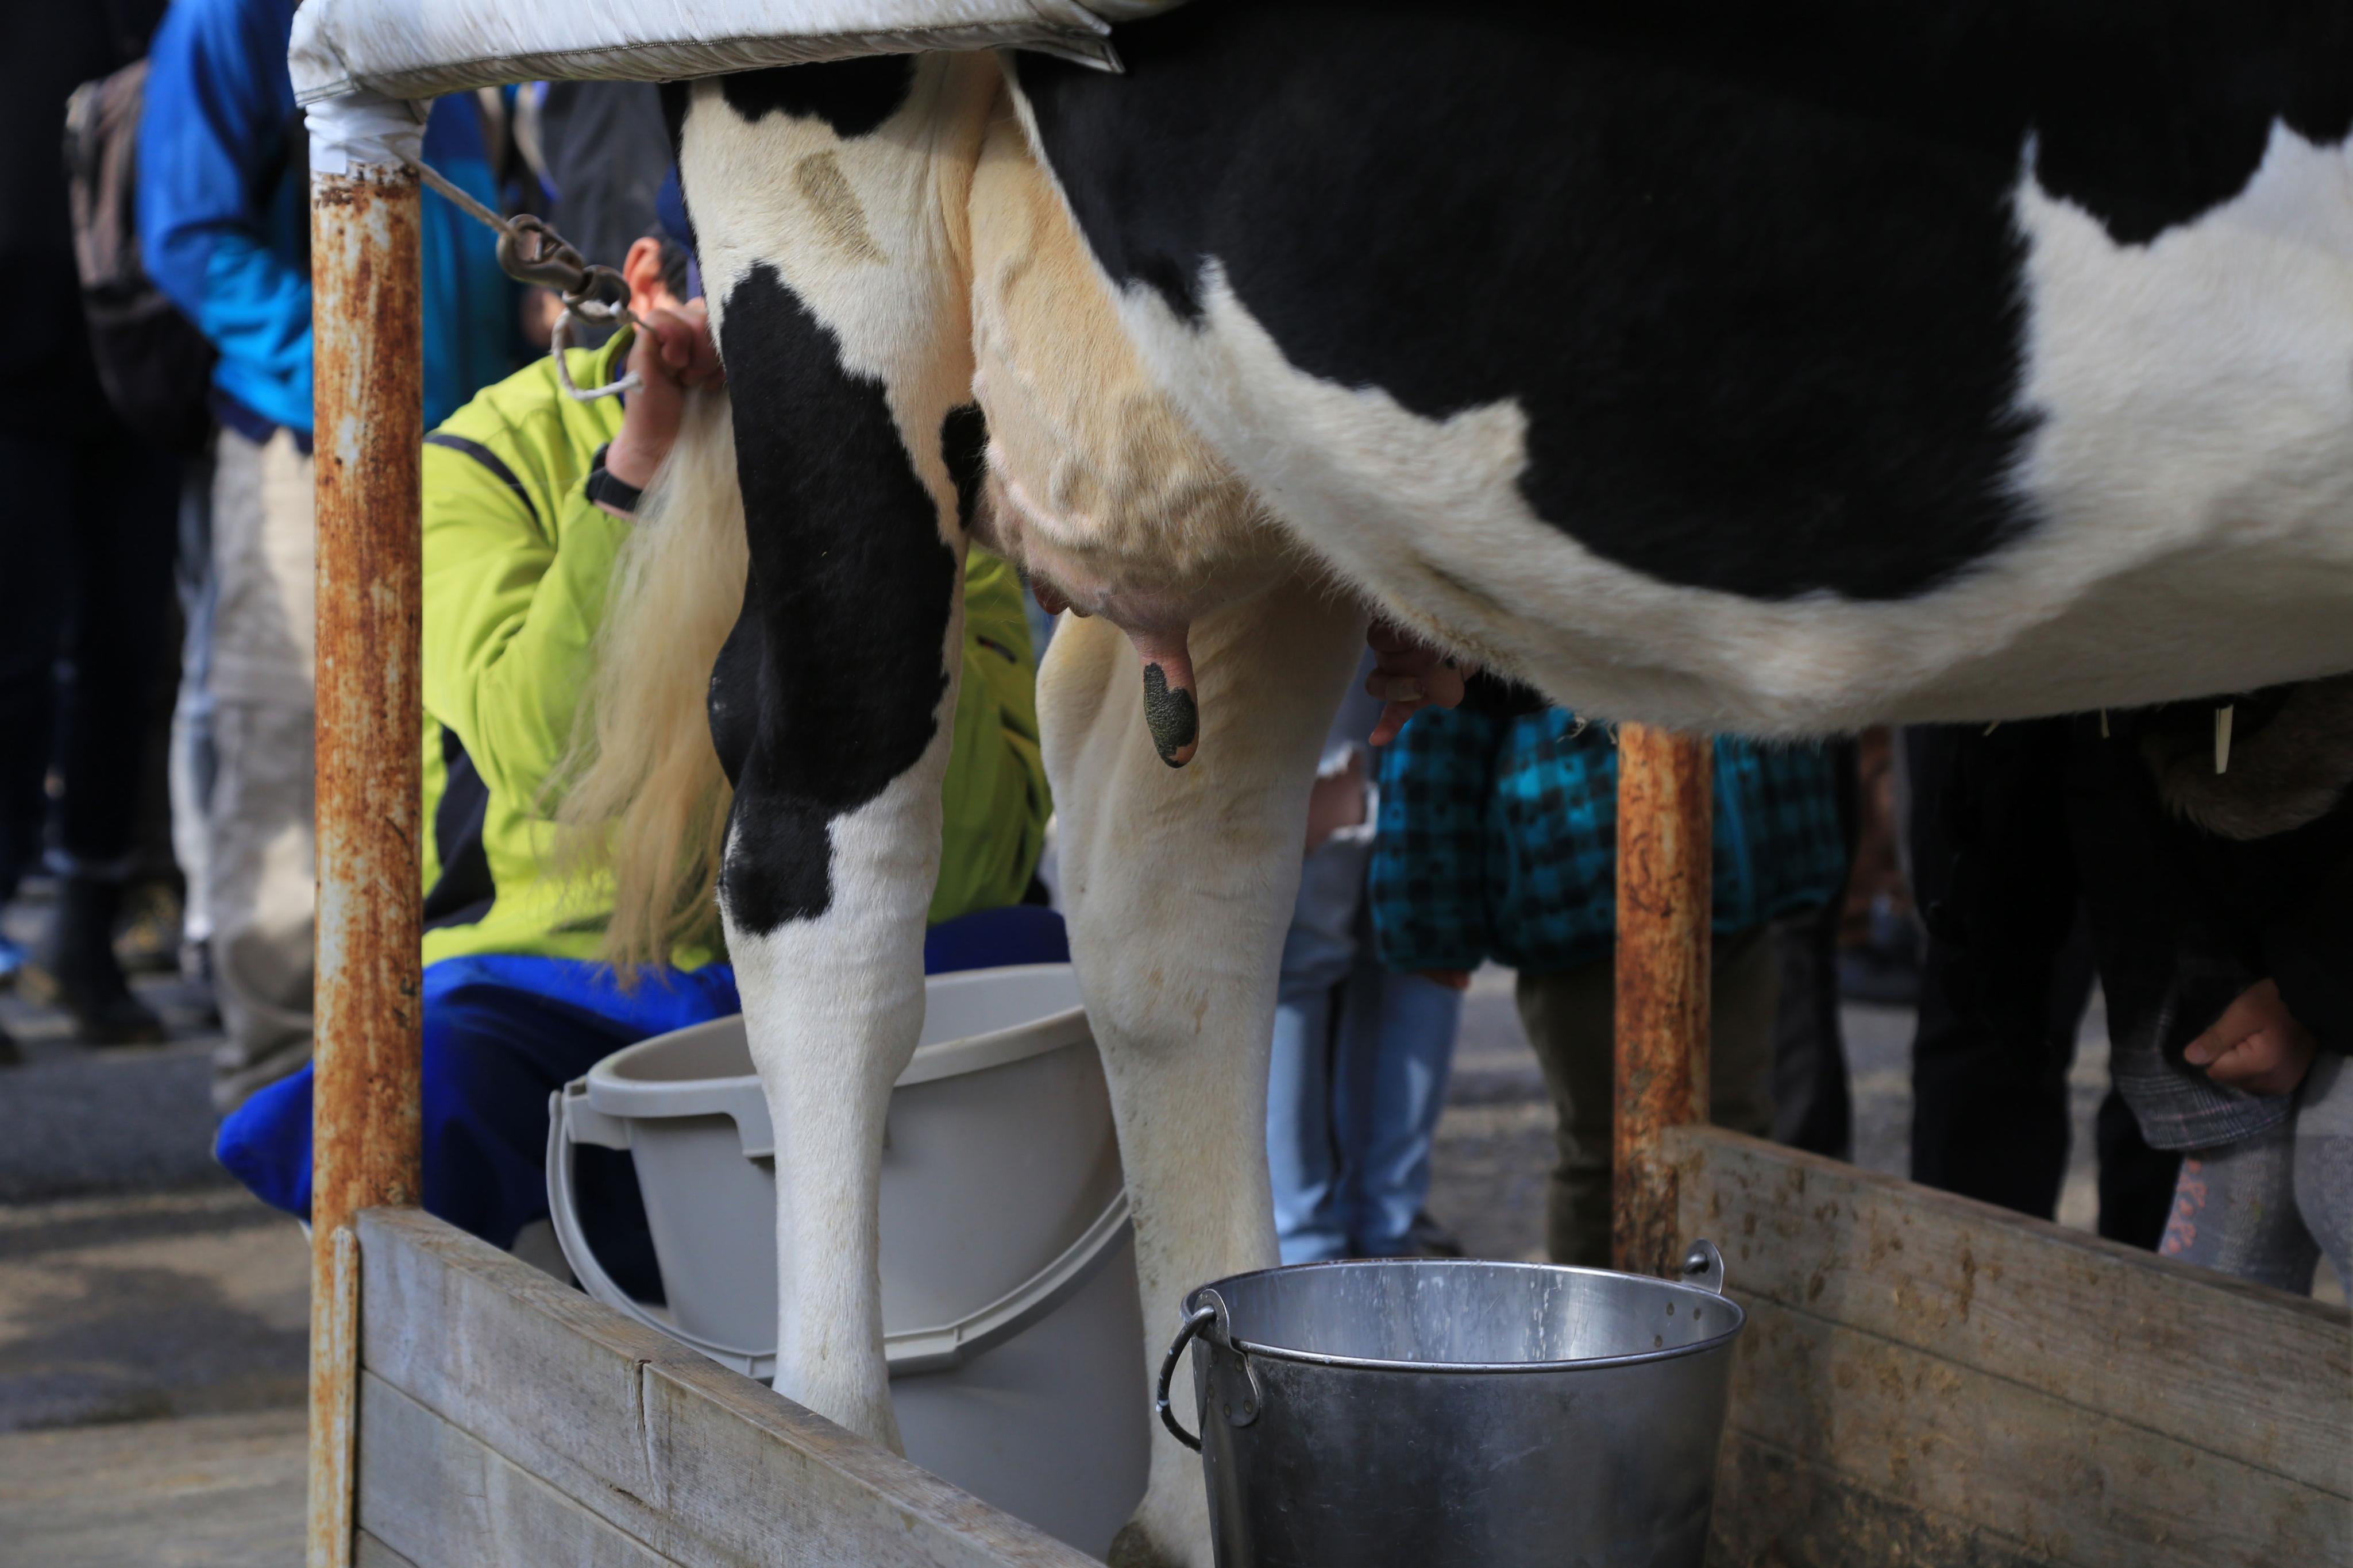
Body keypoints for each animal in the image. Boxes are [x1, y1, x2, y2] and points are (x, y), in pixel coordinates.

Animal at [578, 9, 2353, 1561]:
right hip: (827, 186)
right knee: (823, 814)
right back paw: (830, 1456)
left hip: (1244, 439)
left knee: (1169, 881)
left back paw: (1184, 1512)